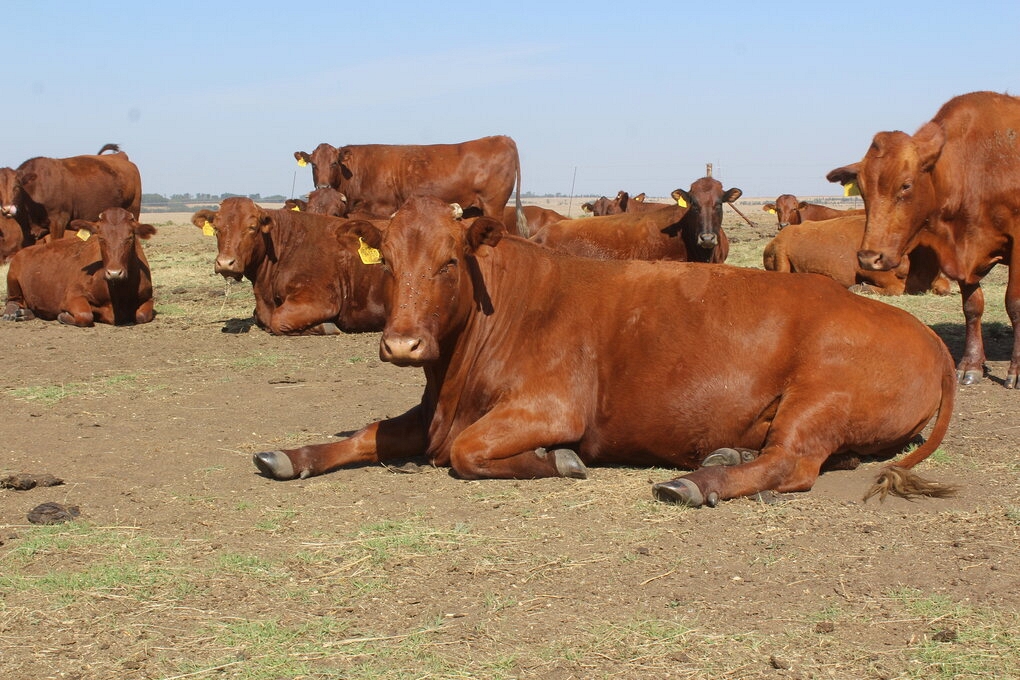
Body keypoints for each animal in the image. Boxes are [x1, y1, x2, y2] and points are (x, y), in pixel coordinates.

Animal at [2, 207, 155, 326]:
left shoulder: (148, 297)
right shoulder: (72, 295)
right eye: (100, 238)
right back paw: (12, 313)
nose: (114, 273)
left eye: (130, 238)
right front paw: (63, 316)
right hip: (12, 277)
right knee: (13, 301)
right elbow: (85, 315)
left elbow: (142, 315)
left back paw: (25, 313)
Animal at [191, 197, 388, 335]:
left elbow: (277, 320)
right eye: (216, 228)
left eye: (252, 227)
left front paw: (326, 326)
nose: (225, 263)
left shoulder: (319, 300)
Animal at [292, 135, 526, 234]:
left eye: (333, 163)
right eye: (314, 164)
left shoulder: (381, 209)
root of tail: (501, 137)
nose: (323, 187)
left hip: (493, 206)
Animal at [826, 90, 1020, 388]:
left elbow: (1015, 305)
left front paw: (1015, 370)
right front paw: (971, 364)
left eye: (906, 185)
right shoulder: (963, 254)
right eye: (863, 189)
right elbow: (972, 306)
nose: (869, 257)